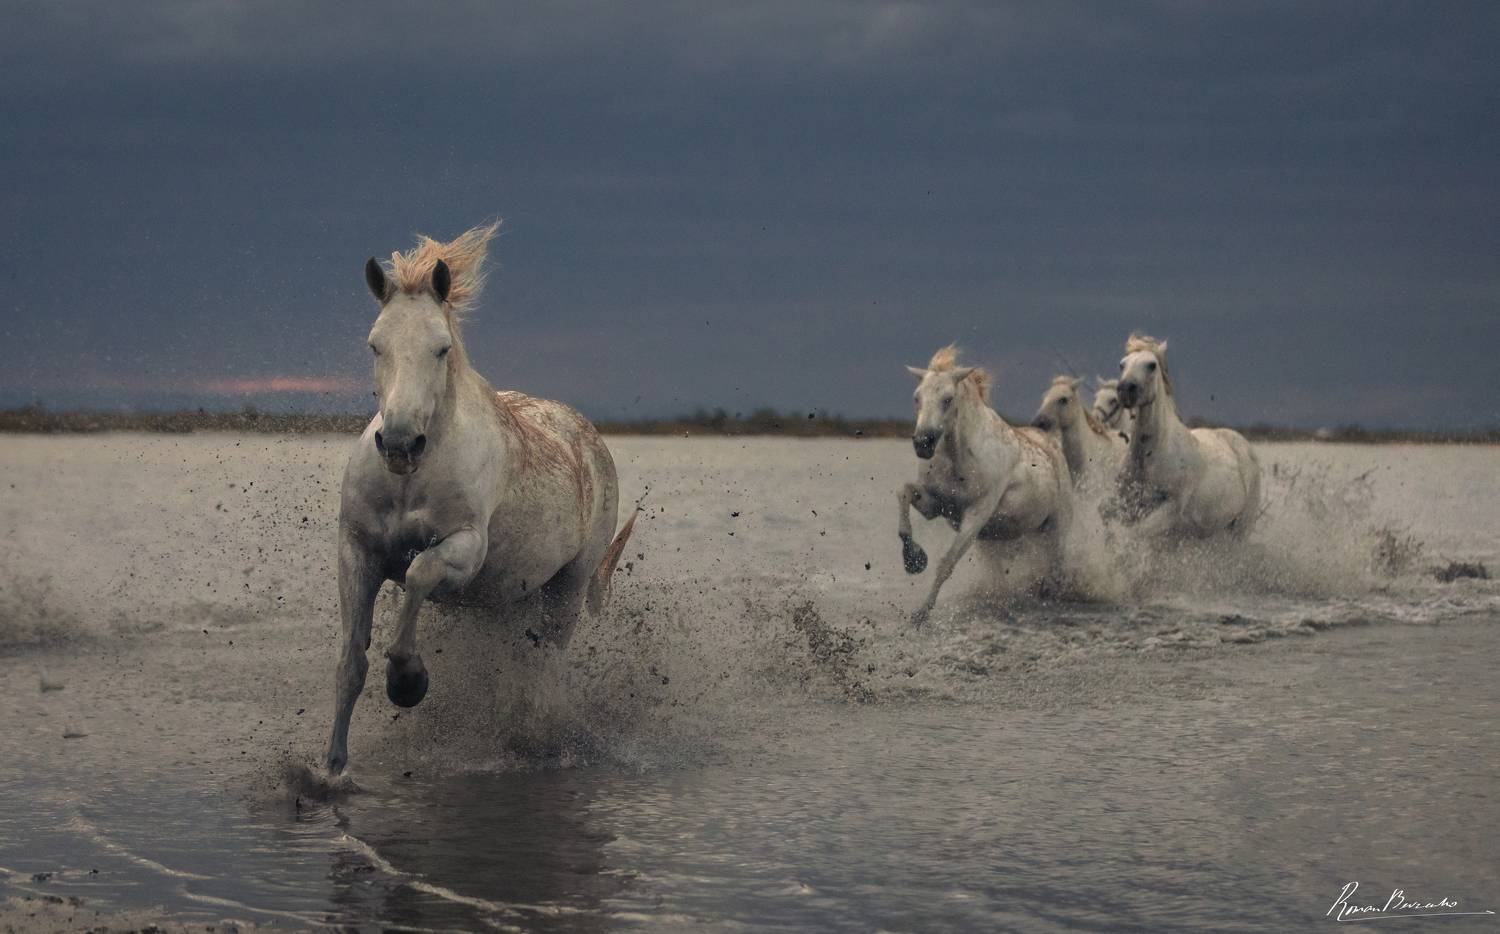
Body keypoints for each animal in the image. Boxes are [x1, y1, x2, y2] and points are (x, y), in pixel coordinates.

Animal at [326, 222, 636, 775]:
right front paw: (333, 768)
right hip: (502, 600)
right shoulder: (356, 549)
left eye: (441, 348)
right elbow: (350, 662)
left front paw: (407, 681)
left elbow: (419, 572)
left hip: (569, 589)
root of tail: (585, 433)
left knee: (543, 668)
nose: (400, 444)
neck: (410, 482)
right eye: (375, 345)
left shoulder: (465, 549)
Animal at [896, 346, 1072, 627]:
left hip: (1056, 528)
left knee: (1054, 569)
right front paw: (913, 559)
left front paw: (921, 613)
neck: (960, 459)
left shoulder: (976, 514)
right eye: (917, 397)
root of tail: (1053, 443)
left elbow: (946, 563)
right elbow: (903, 493)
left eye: (947, 399)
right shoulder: (936, 505)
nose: (923, 443)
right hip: (1000, 539)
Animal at [1114, 334, 1260, 538]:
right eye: (1122, 364)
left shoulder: (1171, 509)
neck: (1150, 454)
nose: (1125, 390)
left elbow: (1135, 534)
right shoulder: (1126, 506)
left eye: (1152, 365)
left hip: (1239, 530)